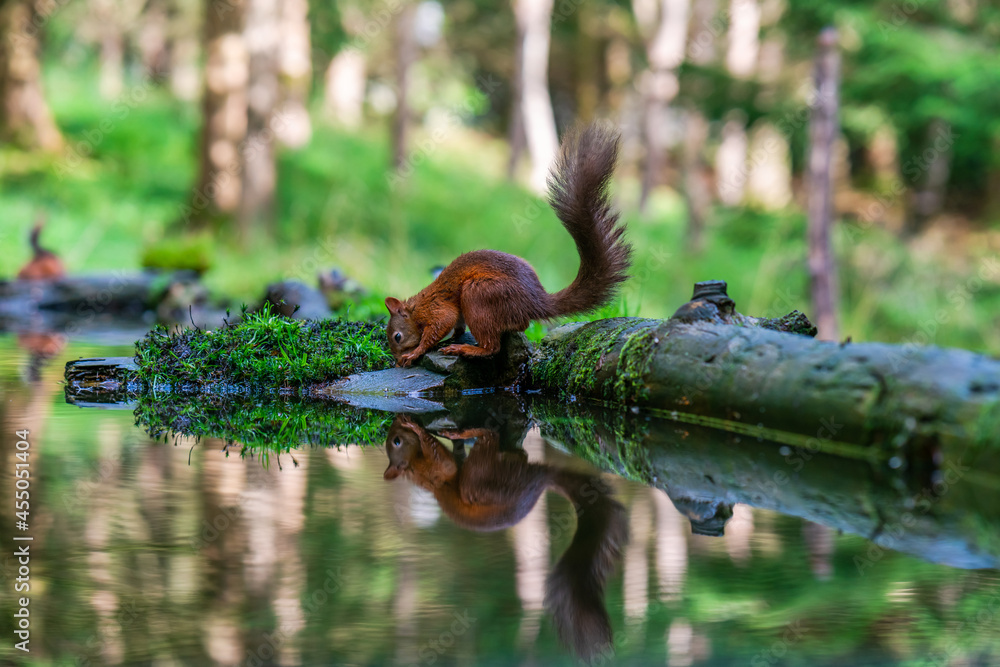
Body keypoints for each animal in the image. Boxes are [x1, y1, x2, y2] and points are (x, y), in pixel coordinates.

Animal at [383, 415, 628, 660]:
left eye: (395, 440)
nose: (395, 421)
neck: (414, 467)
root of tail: (539, 481)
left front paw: (417, 427)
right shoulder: (435, 471)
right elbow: (442, 460)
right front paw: (418, 429)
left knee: (506, 446)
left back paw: (464, 434)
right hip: (480, 481)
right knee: (492, 439)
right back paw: (466, 433)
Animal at [385, 123, 632, 367]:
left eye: (397, 336)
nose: (395, 361)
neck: (417, 307)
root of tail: (536, 302)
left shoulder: (436, 309)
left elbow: (439, 326)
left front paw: (416, 353)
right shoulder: (455, 315)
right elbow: (458, 327)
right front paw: (447, 339)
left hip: (479, 294)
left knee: (492, 346)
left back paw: (466, 349)